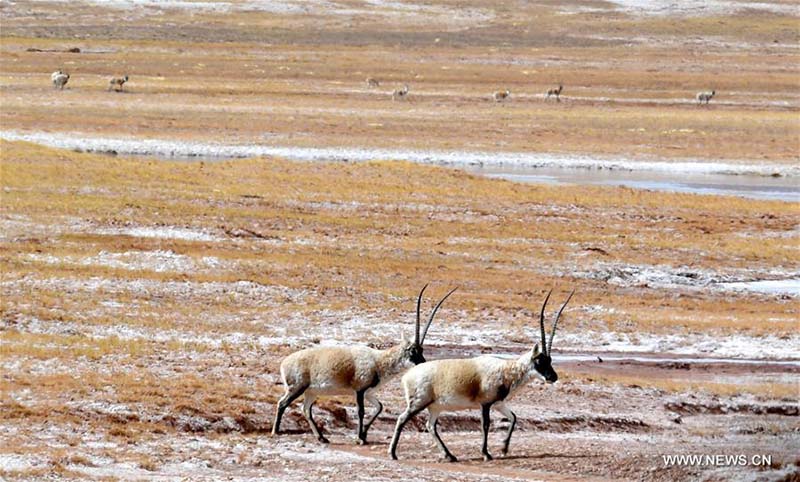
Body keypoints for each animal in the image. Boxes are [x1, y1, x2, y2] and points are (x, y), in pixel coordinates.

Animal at [272, 284, 456, 446]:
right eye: (412, 350)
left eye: (421, 350)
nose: (423, 364)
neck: (378, 361)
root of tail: (284, 363)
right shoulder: (359, 391)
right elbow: (361, 412)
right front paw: (360, 438)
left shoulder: (369, 393)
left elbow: (379, 407)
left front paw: (364, 434)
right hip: (297, 388)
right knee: (282, 403)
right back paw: (276, 431)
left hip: (310, 392)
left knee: (305, 410)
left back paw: (322, 438)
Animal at [390, 288, 572, 462]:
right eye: (539, 360)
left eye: (550, 360)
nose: (553, 377)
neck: (506, 370)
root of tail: (408, 376)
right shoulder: (485, 404)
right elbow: (485, 425)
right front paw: (486, 454)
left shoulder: (498, 404)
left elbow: (513, 417)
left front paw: (504, 449)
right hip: (418, 403)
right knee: (402, 419)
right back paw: (393, 454)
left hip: (435, 407)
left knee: (430, 426)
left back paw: (450, 456)